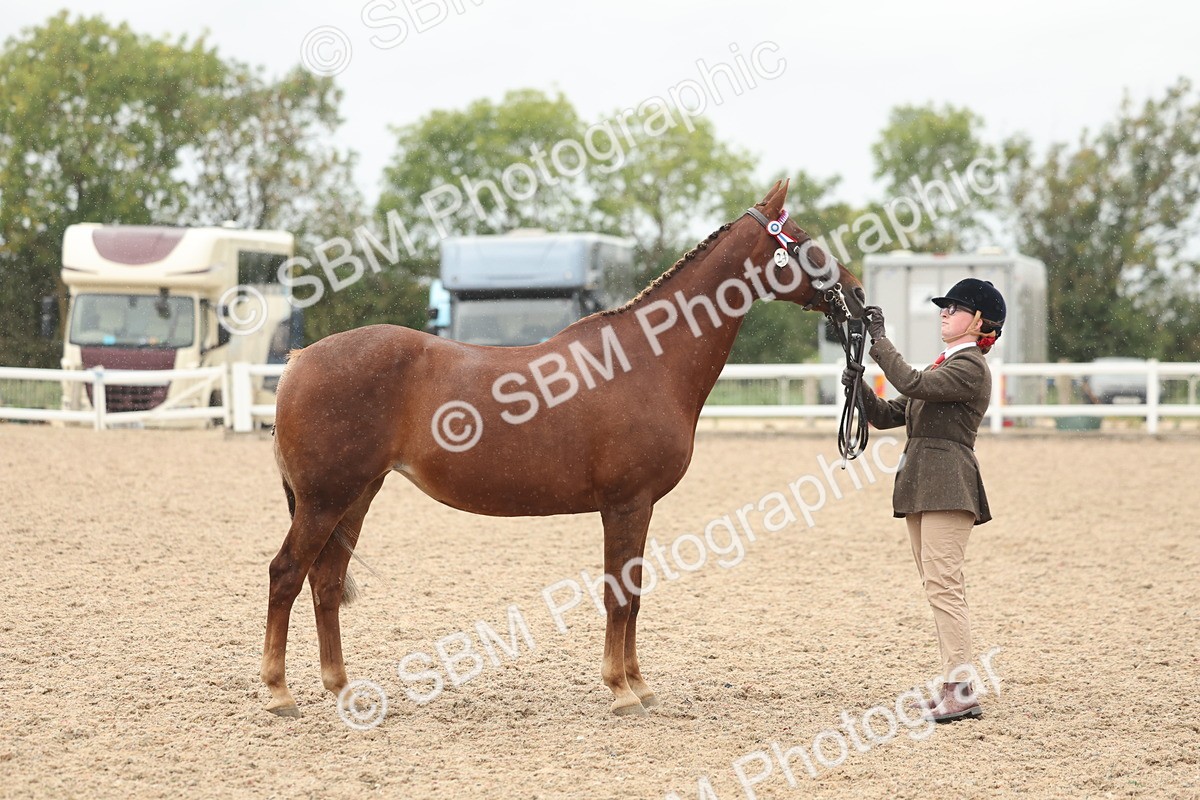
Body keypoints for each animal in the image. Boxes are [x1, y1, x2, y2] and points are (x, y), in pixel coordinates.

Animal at [262, 179, 866, 718]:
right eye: (802, 240)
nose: (857, 295)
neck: (647, 359)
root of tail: (300, 359)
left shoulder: (639, 508)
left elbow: (635, 592)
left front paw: (640, 685)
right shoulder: (626, 504)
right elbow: (619, 594)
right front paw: (621, 691)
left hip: (356, 495)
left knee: (325, 580)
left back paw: (344, 690)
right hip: (325, 499)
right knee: (287, 573)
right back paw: (279, 693)